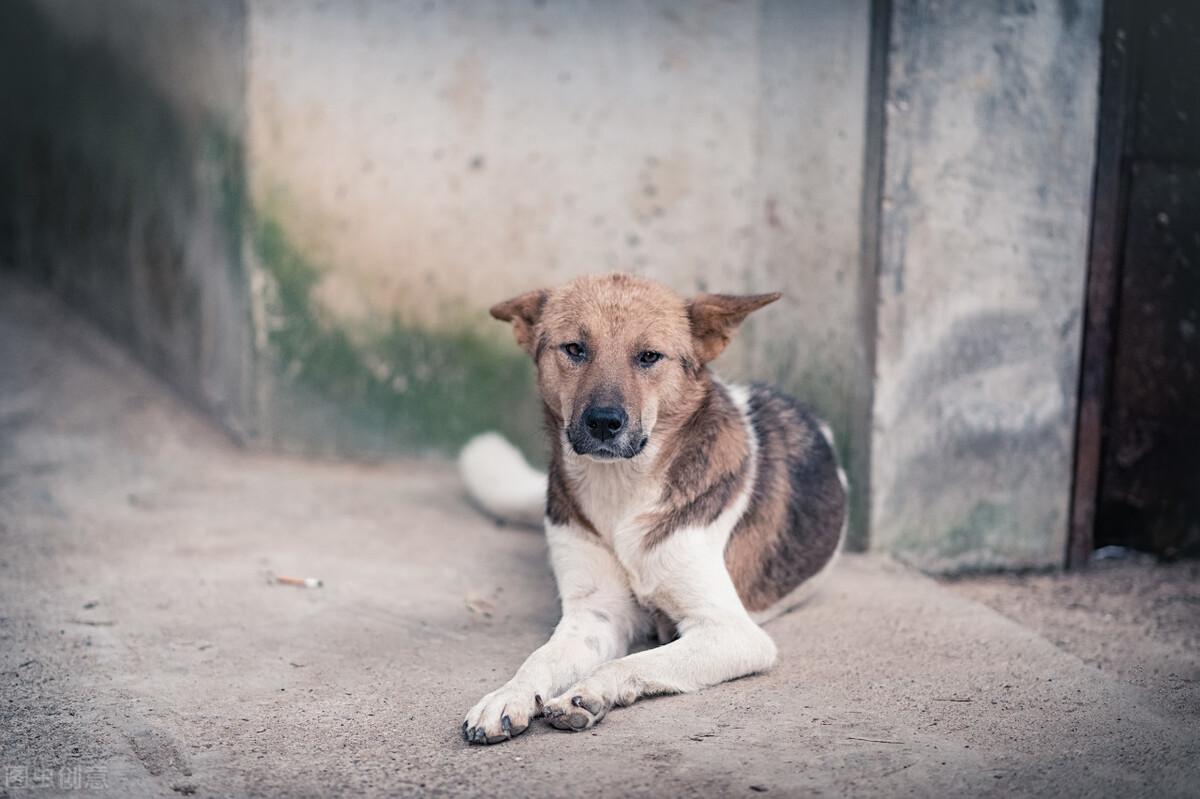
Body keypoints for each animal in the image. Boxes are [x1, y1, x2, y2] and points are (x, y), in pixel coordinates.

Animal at [456, 272, 844, 739]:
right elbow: (539, 659)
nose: (604, 422)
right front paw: (507, 696)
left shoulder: (732, 632)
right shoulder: (595, 615)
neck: (622, 490)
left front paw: (588, 693)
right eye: (574, 348)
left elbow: (634, 661)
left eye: (648, 356)